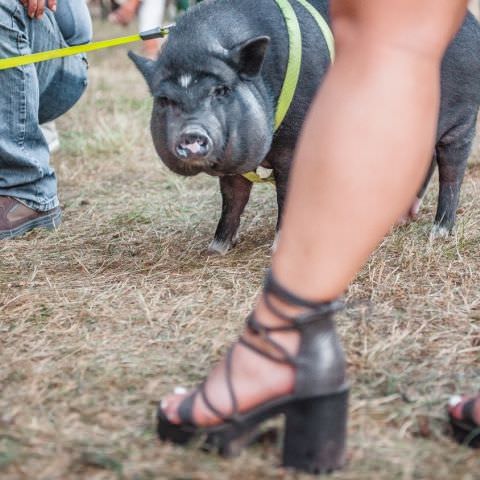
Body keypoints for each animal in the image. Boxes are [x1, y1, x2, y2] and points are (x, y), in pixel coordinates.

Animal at [130, 0, 480, 253]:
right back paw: (399, 219)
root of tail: (471, 23)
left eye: (221, 90)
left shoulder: (295, 146)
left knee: (451, 173)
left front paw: (276, 250)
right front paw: (215, 249)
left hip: (462, 121)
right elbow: (232, 198)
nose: (192, 134)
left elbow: (285, 196)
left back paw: (438, 233)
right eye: (164, 100)